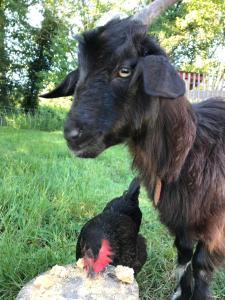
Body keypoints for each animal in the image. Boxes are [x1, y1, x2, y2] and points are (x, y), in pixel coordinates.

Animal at [42, 17, 225, 300]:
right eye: (81, 72)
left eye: (125, 70)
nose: (72, 135)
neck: (190, 149)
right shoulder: (180, 219)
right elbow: (183, 257)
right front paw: (180, 293)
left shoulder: (216, 224)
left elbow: (201, 265)